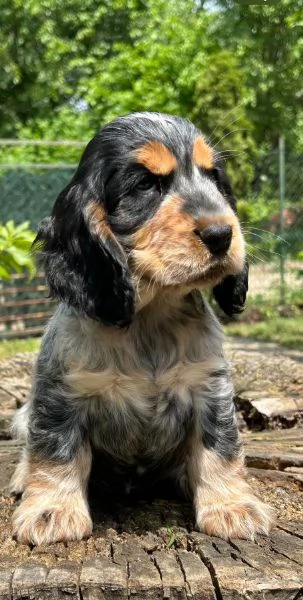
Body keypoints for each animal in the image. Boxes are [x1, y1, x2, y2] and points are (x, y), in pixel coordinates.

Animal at [10, 111, 274, 544]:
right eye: (146, 184)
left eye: (213, 176)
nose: (222, 234)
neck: (150, 317)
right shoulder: (61, 393)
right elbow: (56, 449)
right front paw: (51, 511)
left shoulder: (210, 390)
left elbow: (220, 448)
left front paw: (233, 507)